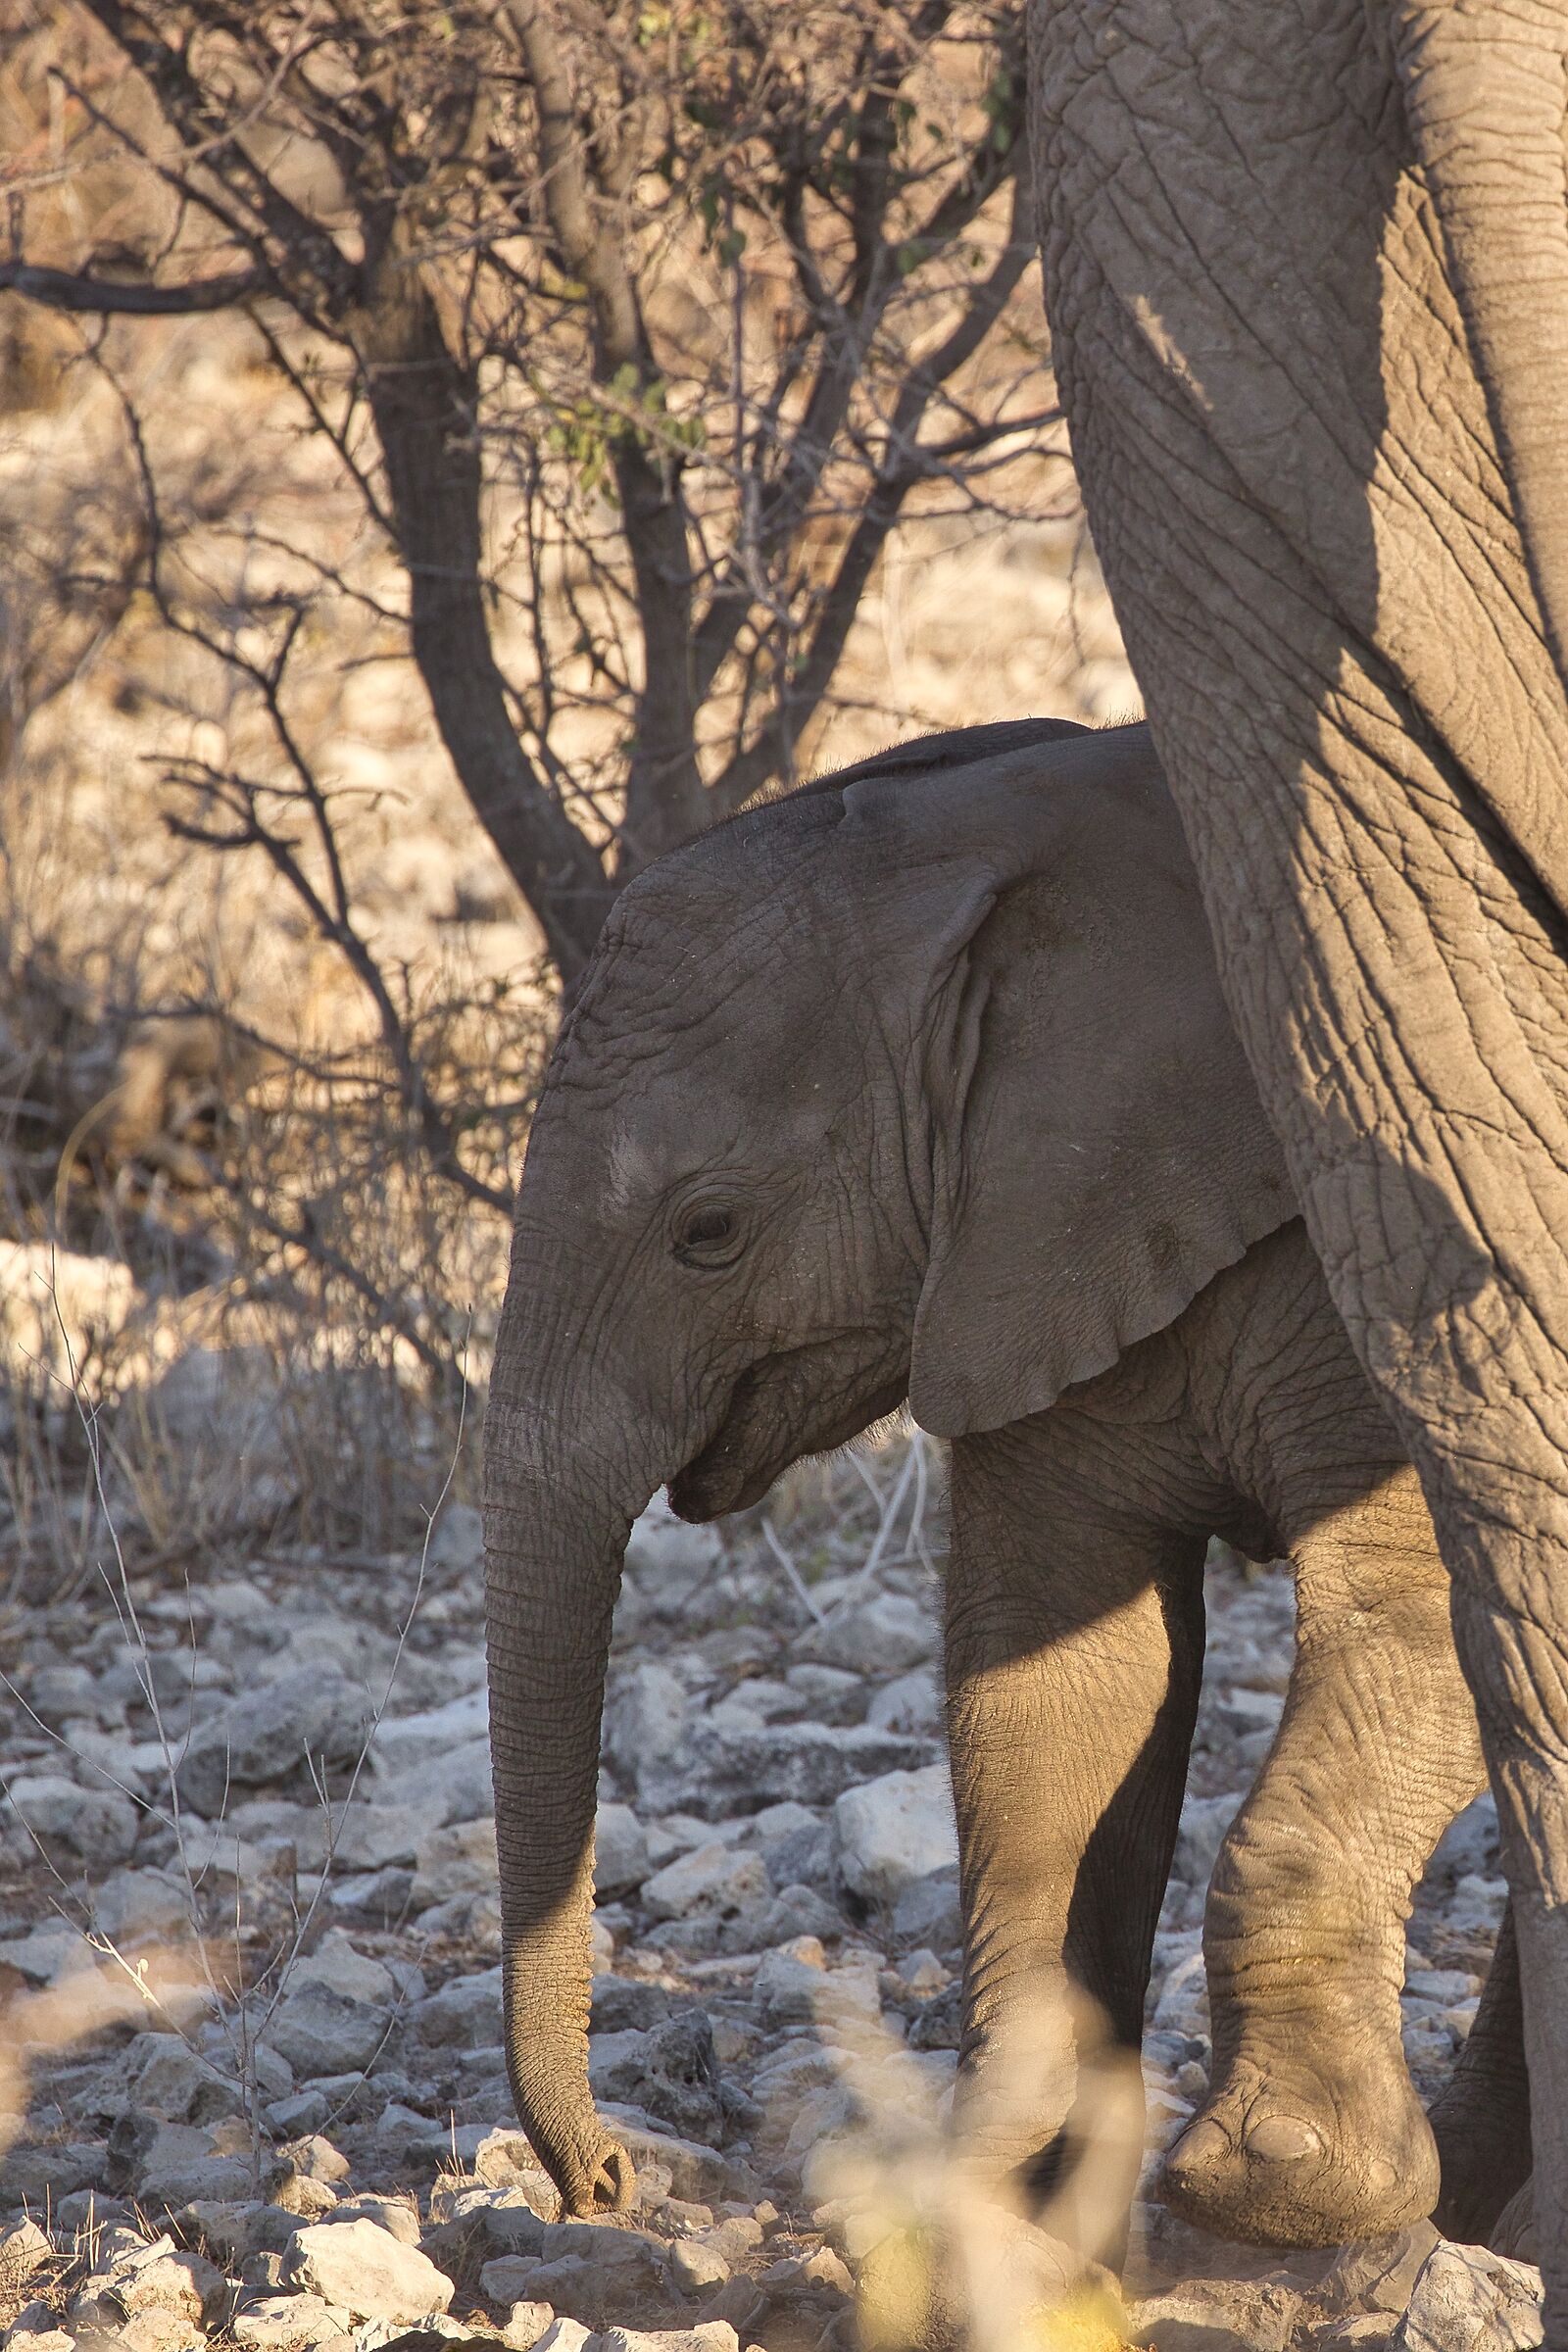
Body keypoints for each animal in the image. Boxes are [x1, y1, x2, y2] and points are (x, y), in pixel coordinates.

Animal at [482, 712, 1505, 2266]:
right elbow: (1057, 1682)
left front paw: (1278, 2185)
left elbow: (1429, 1594)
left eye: (708, 1232)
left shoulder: (1391, 1224)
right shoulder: (1027, 1243)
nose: (602, 2185)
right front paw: (1008, 2202)